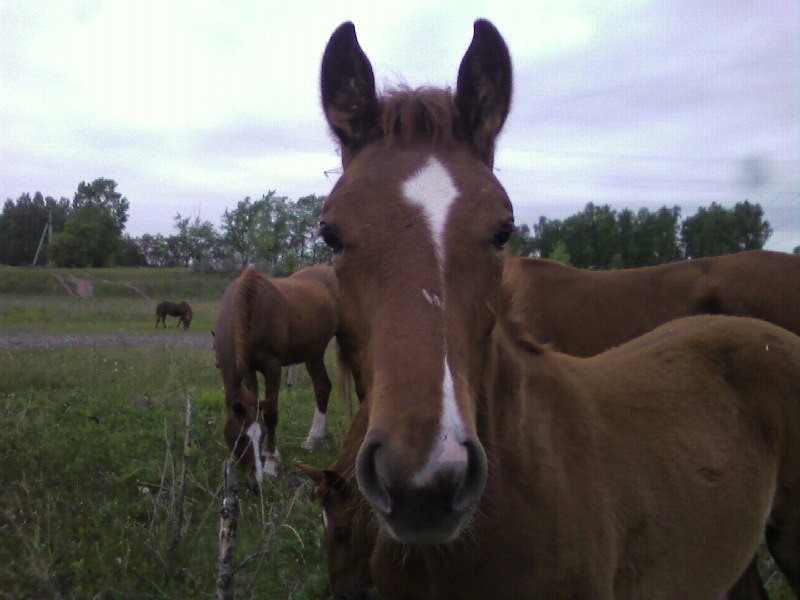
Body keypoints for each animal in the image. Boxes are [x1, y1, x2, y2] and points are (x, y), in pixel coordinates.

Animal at [216, 264, 360, 490]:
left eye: (261, 436)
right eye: (239, 439)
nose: (255, 483)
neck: (252, 308)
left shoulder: (272, 366)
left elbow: (271, 413)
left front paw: (270, 463)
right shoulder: (250, 369)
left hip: (350, 342)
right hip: (313, 352)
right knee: (322, 386)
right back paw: (313, 438)